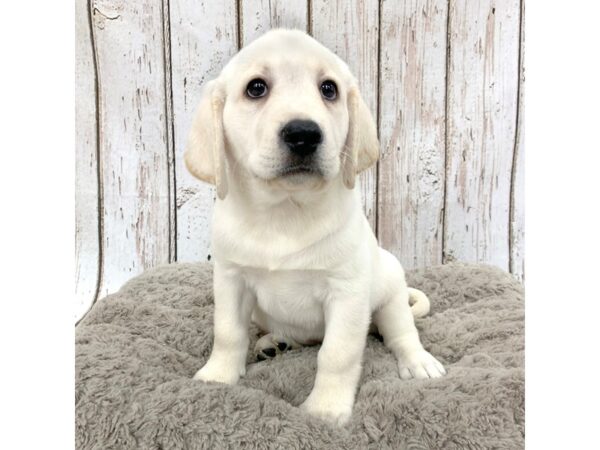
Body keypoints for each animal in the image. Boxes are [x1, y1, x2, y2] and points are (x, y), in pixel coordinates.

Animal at [186, 29, 446, 426]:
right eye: (256, 88)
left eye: (329, 89)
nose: (303, 133)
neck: (284, 211)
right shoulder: (231, 280)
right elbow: (228, 332)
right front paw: (217, 377)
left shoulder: (346, 292)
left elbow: (337, 354)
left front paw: (325, 409)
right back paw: (273, 344)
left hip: (390, 292)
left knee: (401, 332)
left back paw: (418, 362)